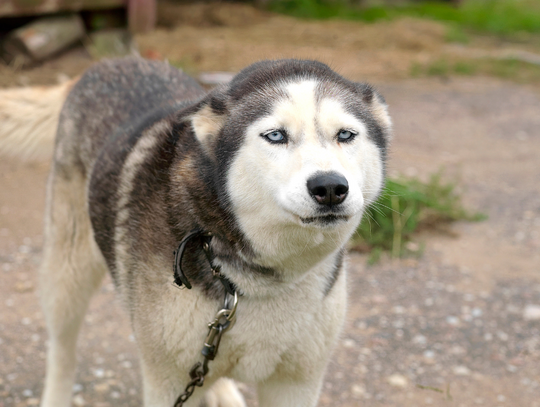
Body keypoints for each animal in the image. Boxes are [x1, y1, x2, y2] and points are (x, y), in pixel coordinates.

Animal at [34, 58, 392, 407]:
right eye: (276, 136)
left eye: (345, 134)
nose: (330, 187)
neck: (260, 279)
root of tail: (104, 64)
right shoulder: (166, 381)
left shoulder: (297, 382)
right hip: (68, 277)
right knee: (62, 351)